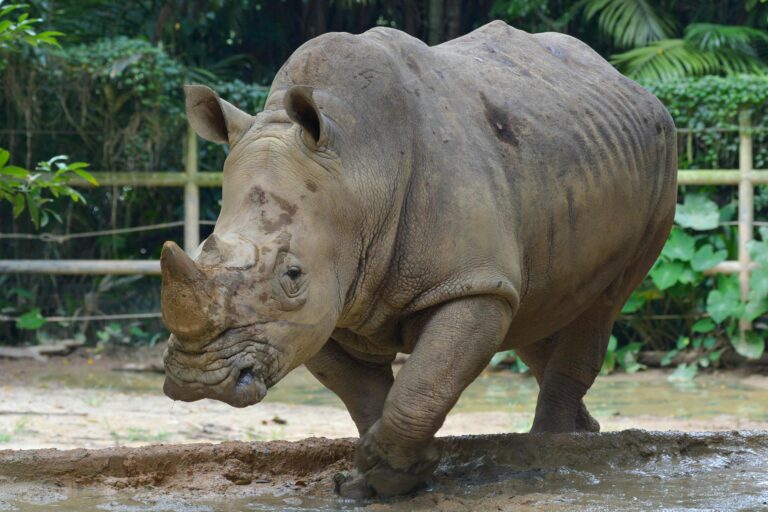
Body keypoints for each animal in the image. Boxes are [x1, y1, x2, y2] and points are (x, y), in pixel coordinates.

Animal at [160, 21, 676, 497]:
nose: (198, 378)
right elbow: (363, 392)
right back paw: (581, 434)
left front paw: (392, 474)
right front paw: (374, 478)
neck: (359, 169)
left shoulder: (467, 283)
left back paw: (553, 446)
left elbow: (425, 381)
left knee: (602, 304)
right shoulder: (320, 309)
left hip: (661, 165)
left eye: (292, 275)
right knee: (537, 305)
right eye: (204, 247)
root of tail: (626, 82)